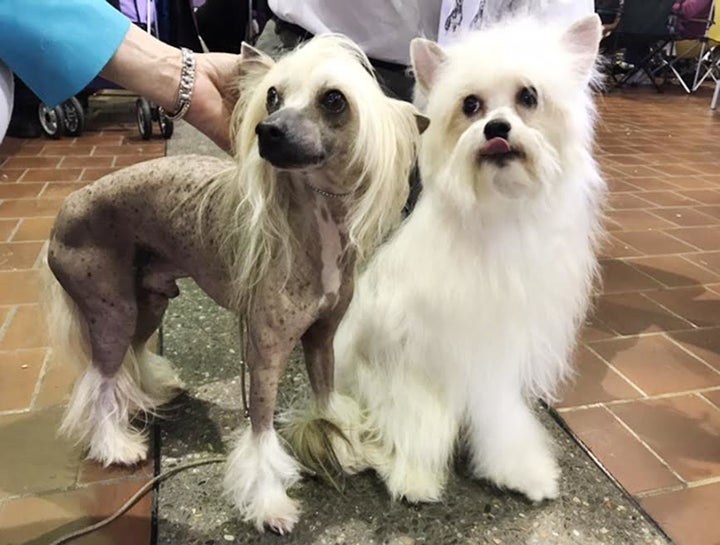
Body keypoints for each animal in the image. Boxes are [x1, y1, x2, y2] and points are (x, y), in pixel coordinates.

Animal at [332, 15, 608, 502]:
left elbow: (500, 419)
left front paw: (520, 470)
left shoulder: (497, 358)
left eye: (528, 96)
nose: (496, 128)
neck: (497, 215)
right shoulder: (415, 354)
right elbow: (415, 417)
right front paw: (413, 473)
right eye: (471, 104)